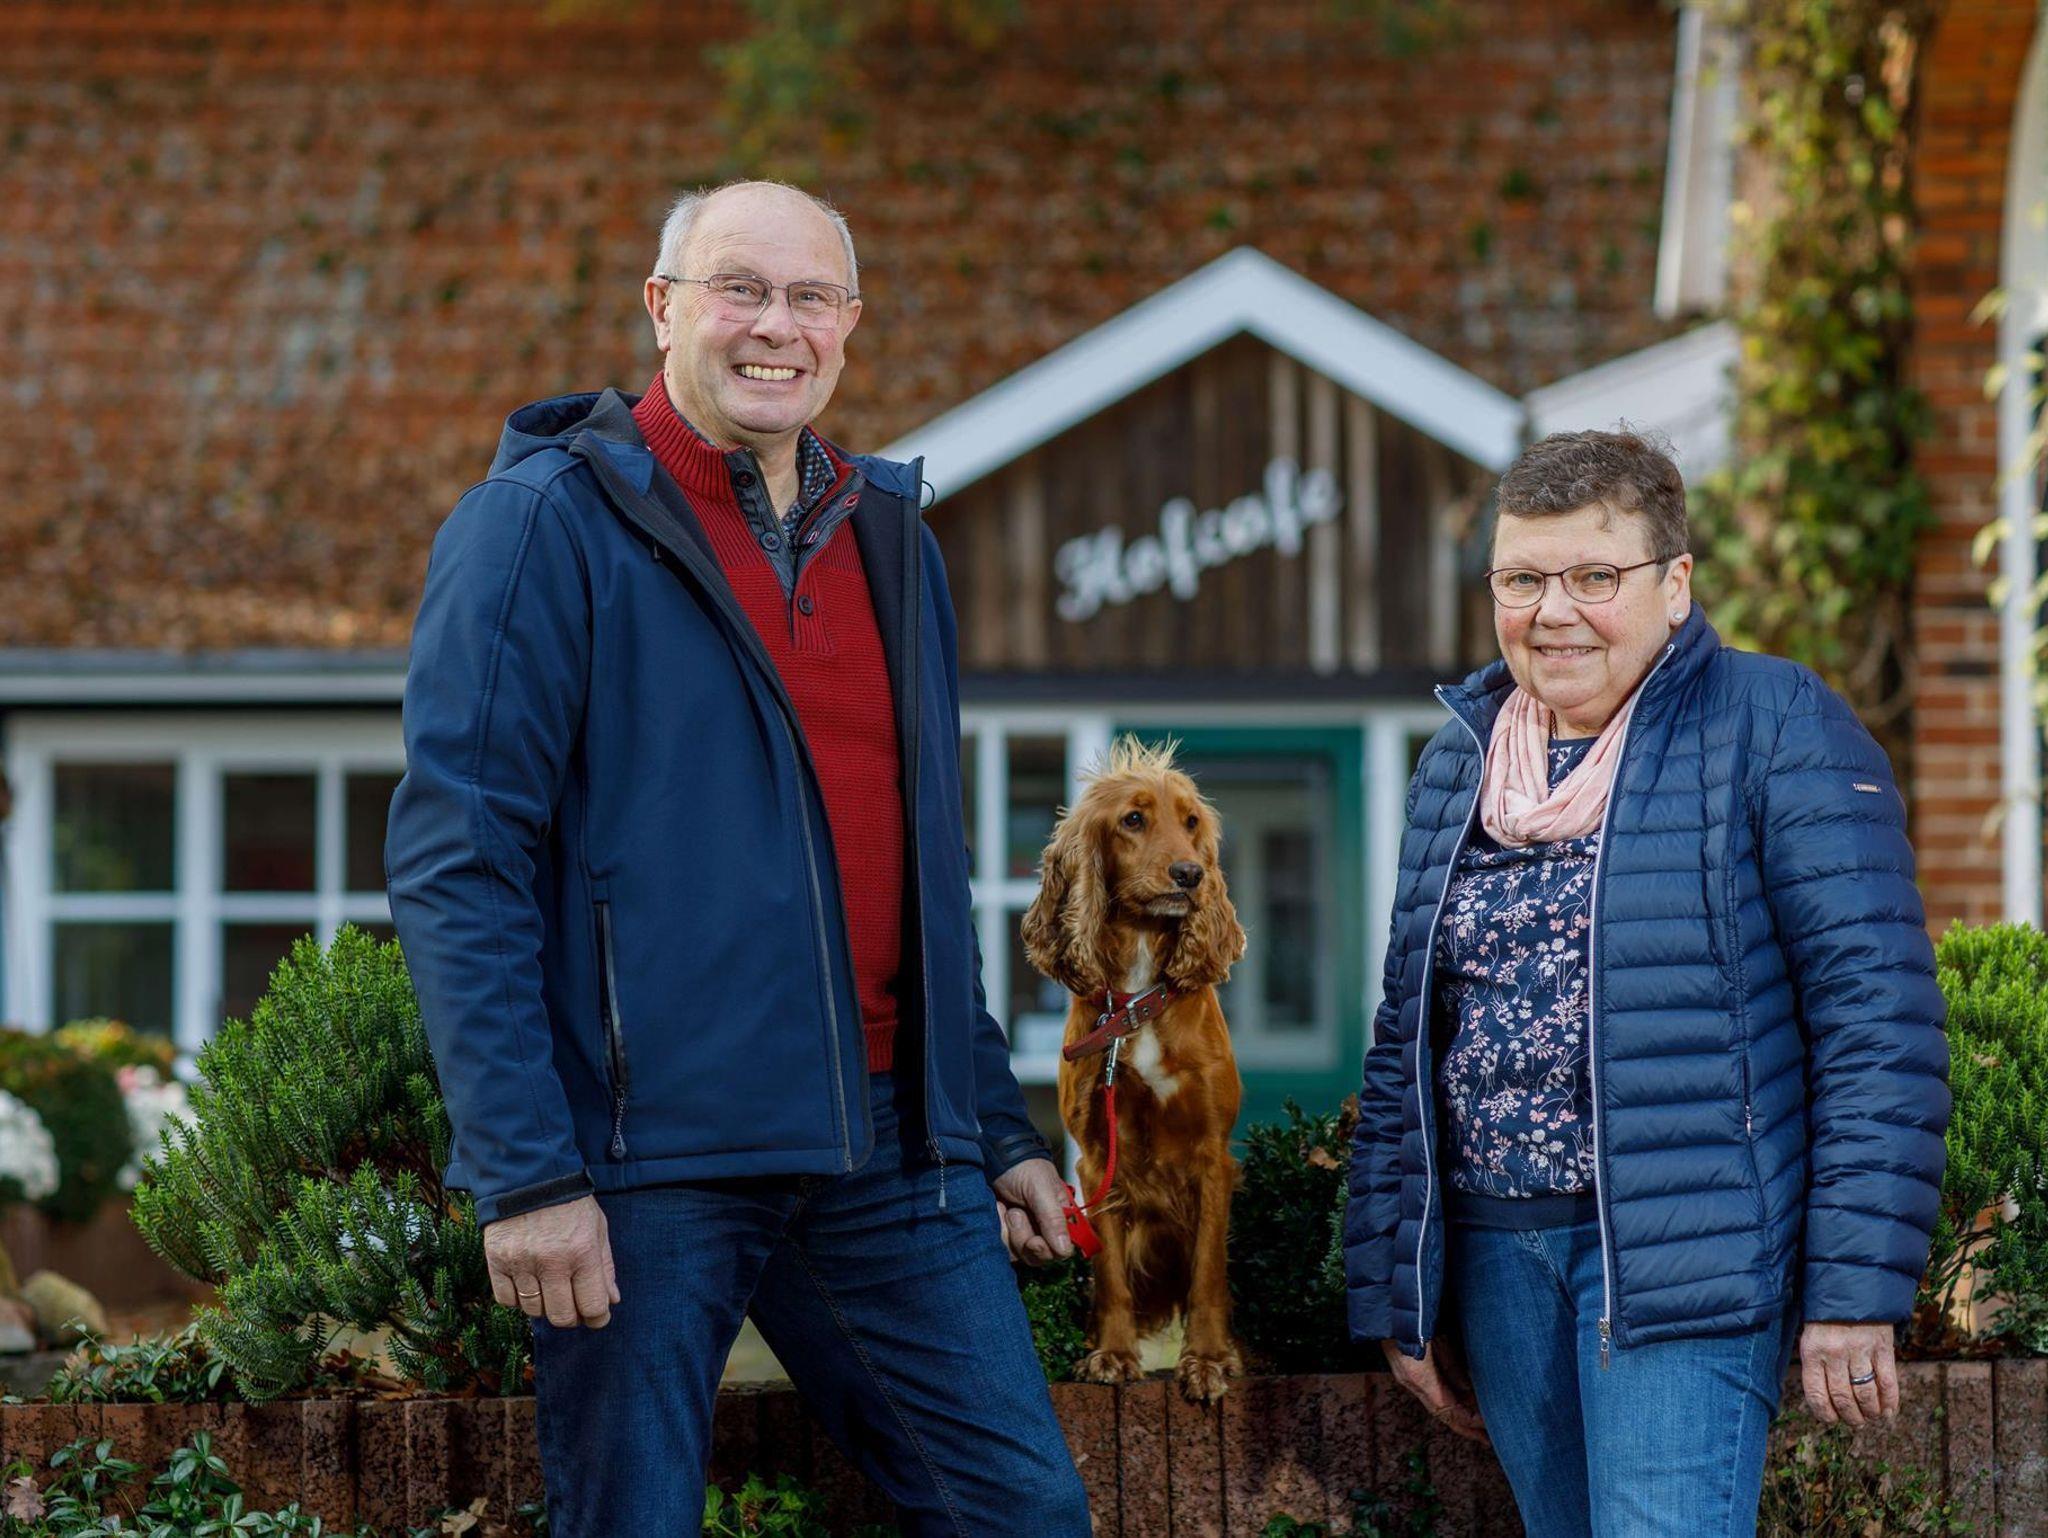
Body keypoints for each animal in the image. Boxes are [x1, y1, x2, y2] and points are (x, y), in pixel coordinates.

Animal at [1021, 736, 1247, 1404]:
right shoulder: (1097, 1159)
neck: (1137, 1003)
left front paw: (1207, 1361)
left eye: (1191, 823)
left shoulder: (1212, 1155)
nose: (1190, 875)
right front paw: (1113, 1355)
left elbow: (1207, 1273)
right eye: (1133, 820)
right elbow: (1110, 1272)